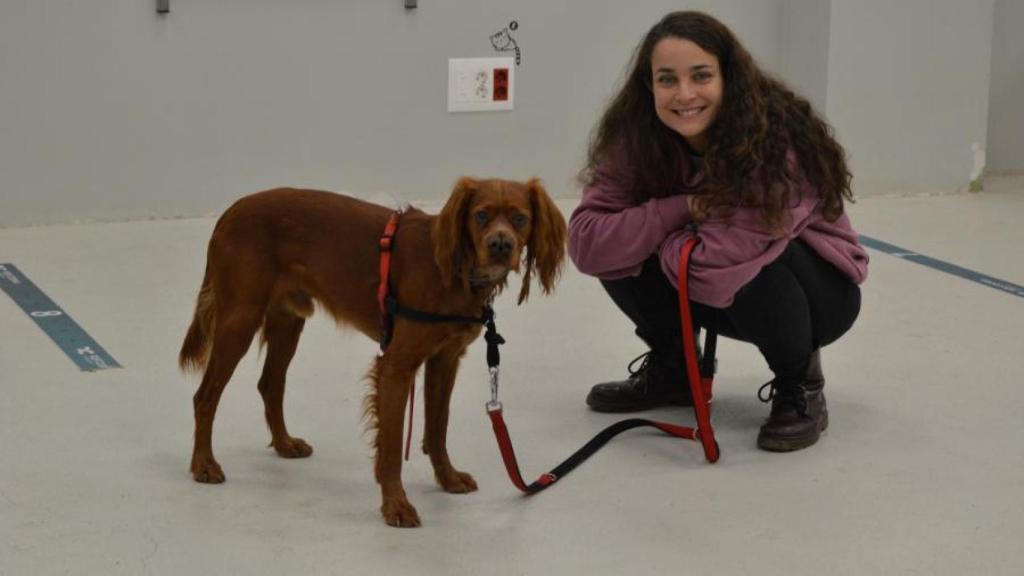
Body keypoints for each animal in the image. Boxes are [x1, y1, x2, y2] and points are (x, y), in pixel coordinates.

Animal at [180, 176, 565, 524]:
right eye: (481, 215)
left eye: (520, 219)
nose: (500, 245)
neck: (453, 269)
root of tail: (230, 211)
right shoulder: (397, 363)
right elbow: (392, 447)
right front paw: (396, 505)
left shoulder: (444, 360)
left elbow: (437, 428)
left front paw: (448, 478)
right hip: (239, 319)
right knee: (205, 396)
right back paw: (203, 464)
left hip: (288, 320)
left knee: (270, 384)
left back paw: (285, 443)